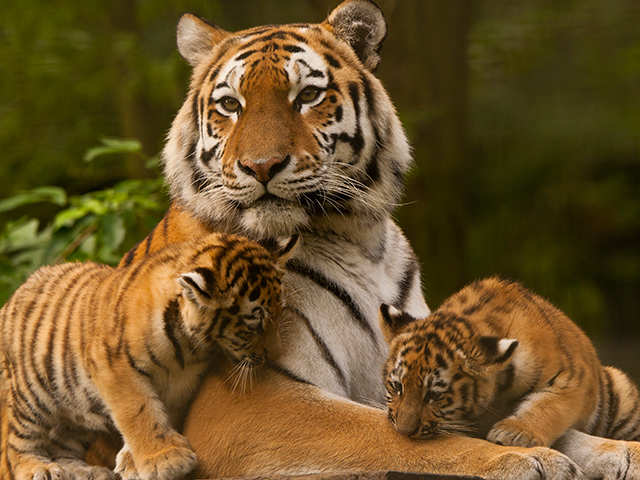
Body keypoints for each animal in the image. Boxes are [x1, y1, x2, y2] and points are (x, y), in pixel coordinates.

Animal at [99, 1, 636, 478]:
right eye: (230, 105)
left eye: (306, 97)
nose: (261, 166)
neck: (355, 237)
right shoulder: (241, 401)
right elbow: (391, 434)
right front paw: (526, 460)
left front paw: (613, 450)